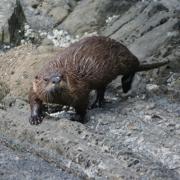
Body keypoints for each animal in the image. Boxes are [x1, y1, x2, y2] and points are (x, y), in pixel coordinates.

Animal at [28, 35, 169, 124]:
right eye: (46, 79)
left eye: (62, 76)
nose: (56, 80)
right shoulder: (34, 87)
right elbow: (33, 99)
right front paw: (35, 117)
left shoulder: (80, 89)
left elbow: (82, 107)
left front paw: (74, 116)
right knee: (101, 88)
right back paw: (97, 102)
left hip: (123, 59)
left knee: (134, 65)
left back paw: (125, 85)